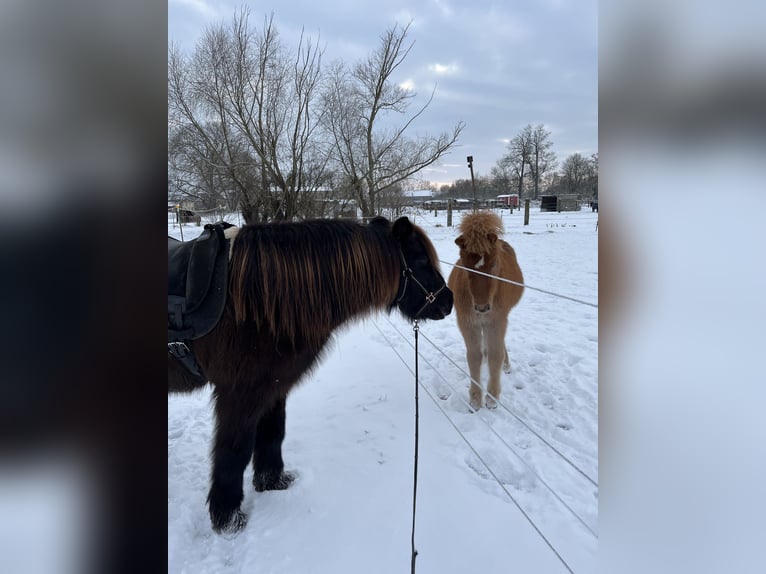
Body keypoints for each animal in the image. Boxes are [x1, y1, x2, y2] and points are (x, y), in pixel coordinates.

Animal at [169, 215, 453, 533]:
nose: (448, 301)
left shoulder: (273, 387)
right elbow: (234, 451)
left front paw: (272, 481)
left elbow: (273, 433)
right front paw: (228, 517)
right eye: (421, 260)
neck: (259, 298)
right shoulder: (240, 394)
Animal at [447, 211, 523, 411]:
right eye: (465, 264)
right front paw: (475, 399)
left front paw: (492, 398)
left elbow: (496, 355)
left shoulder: (496, 321)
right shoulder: (467, 322)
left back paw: (506, 365)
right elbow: (474, 356)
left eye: (495, 263)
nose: (482, 307)